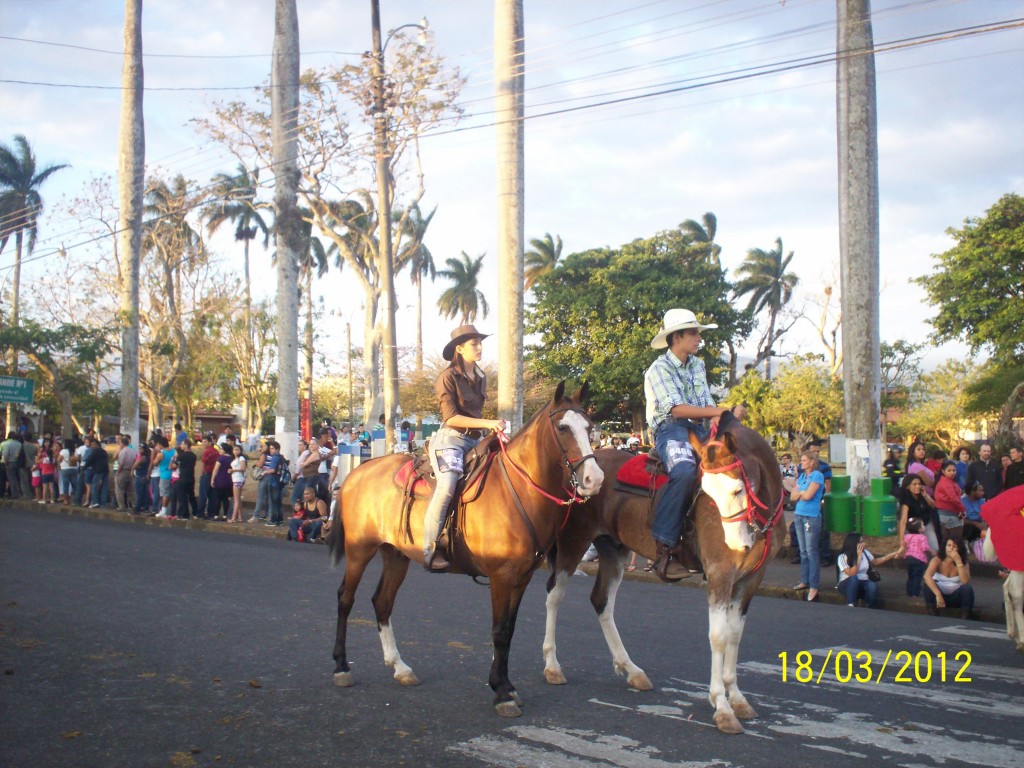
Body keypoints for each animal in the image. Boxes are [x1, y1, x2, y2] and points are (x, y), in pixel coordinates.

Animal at [327, 382, 602, 720]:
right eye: (563, 427)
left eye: (589, 427)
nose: (595, 479)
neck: (518, 490)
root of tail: (358, 470)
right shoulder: (501, 576)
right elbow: (499, 631)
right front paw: (501, 692)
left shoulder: (522, 577)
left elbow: (510, 629)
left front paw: (508, 686)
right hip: (359, 550)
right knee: (345, 599)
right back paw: (342, 667)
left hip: (396, 555)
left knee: (382, 602)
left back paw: (400, 667)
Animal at [540, 411, 778, 737]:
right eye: (707, 493)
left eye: (737, 489)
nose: (736, 542)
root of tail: (578, 472)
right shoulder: (720, 574)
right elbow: (718, 637)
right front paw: (722, 706)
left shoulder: (750, 581)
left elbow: (734, 636)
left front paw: (738, 698)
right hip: (573, 543)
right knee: (554, 595)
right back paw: (552, 665)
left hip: (613, 550)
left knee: (602, 601)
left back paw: (630, 668)